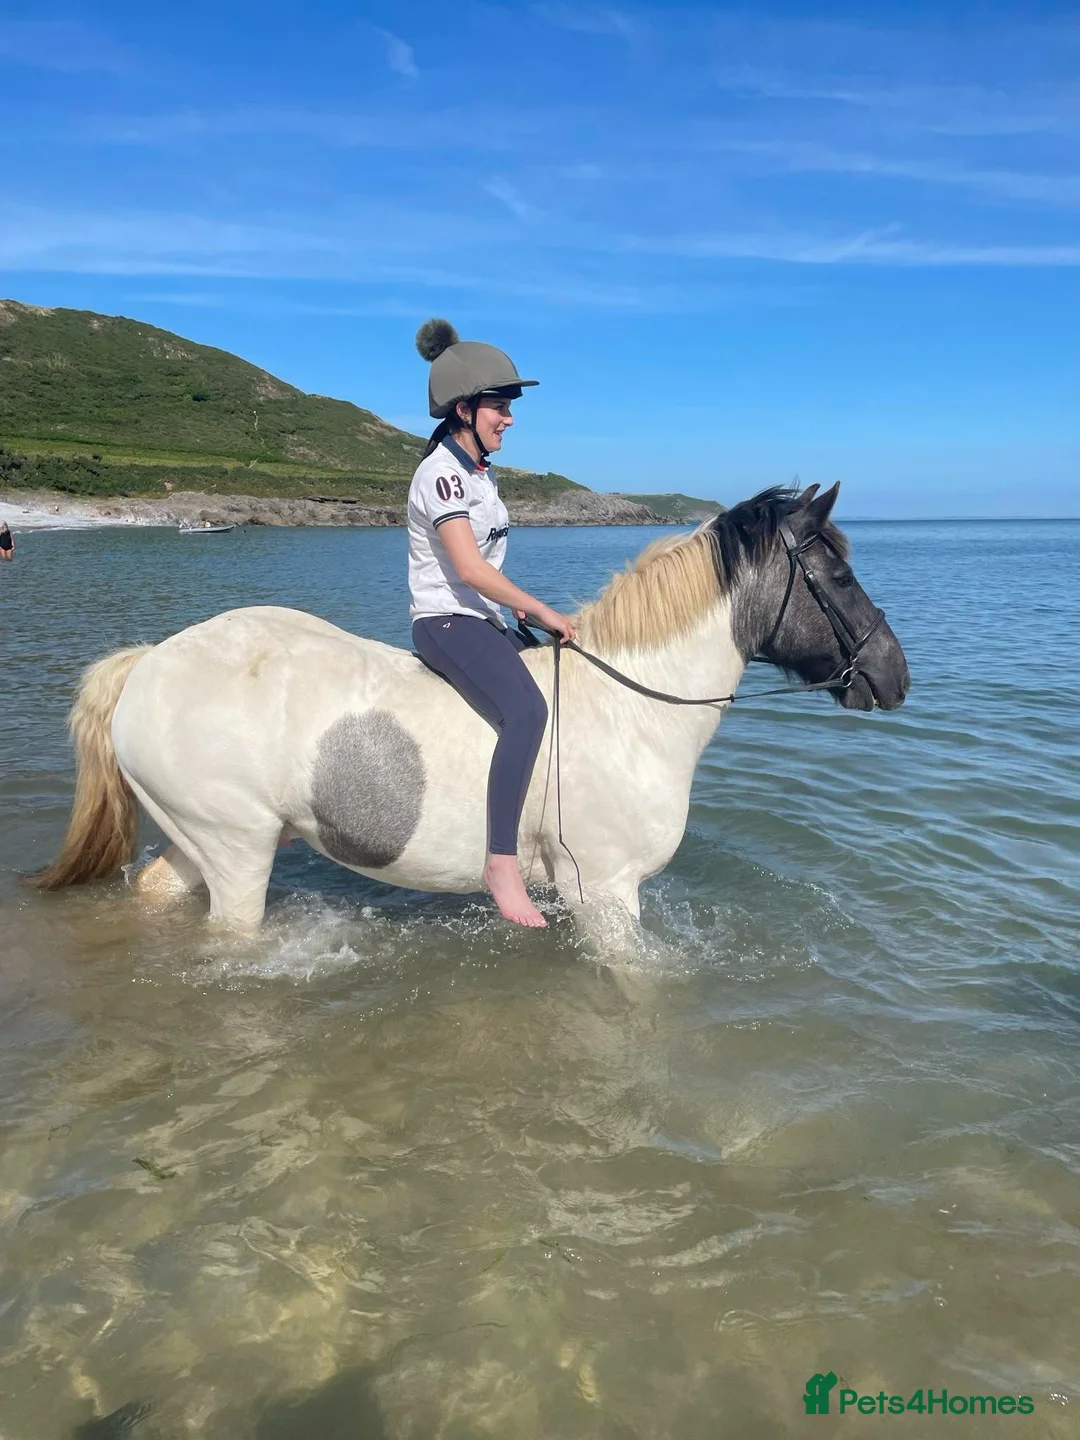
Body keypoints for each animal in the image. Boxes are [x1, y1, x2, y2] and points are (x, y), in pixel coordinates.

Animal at [32, 482, 909, 930]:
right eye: (837, 575)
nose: (895, 676)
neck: (633, 709)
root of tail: (148, 664)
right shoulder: (607, 893)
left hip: (202, 840)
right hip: (235, 848)